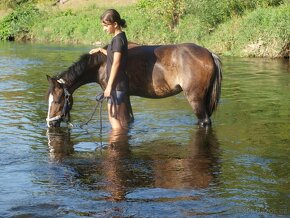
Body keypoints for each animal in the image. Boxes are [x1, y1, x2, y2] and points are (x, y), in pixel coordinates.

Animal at [46, 42, 222, 127]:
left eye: (58, 100)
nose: (50, 123)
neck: (102, 63)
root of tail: (209, 53)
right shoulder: (126, 96)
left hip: (195, 99)